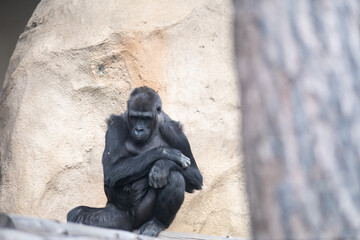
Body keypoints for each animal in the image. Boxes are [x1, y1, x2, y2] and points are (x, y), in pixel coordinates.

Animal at [67, 86, 202, 236]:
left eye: (146, 118)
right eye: (135, 117)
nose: (139, 129)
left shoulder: (175, 132)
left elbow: (195, 177)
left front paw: (162, 165)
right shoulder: (116, 125)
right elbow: (112, 169)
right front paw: (167, 153)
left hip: (140, 217)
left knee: (174, 176)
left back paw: (157, 223)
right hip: (116, 216)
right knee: (77, 215)